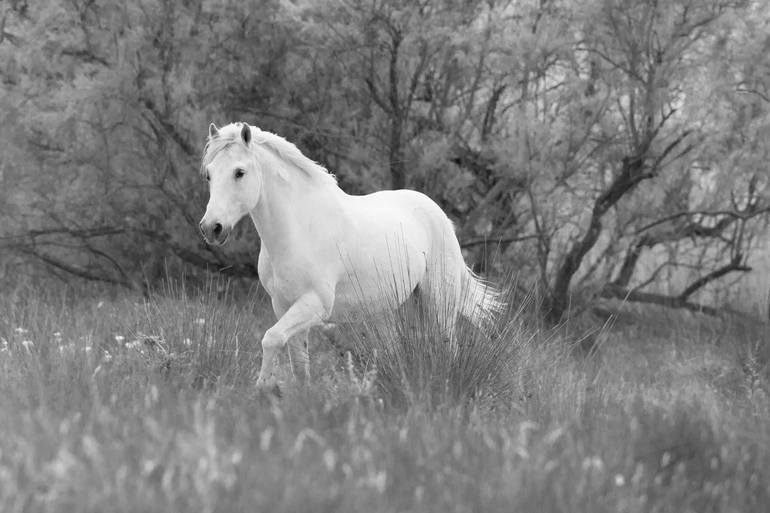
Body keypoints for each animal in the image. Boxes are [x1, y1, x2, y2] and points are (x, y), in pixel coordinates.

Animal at [198, 122, 500, 386]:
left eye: (239, 172)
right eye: (209, 174)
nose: (211, 228)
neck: (298, 229)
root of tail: (438, 214)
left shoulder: (315, 304)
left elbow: (271, 338)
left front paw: (262, 389)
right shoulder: (283, 305)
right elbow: (298, 363)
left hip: (439, 301)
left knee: (448, 346)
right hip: (383, 311)